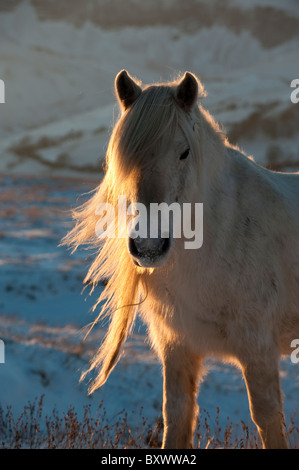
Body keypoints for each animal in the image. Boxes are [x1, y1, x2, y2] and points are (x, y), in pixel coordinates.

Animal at [64, 70, 299, 448]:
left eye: (184, 152)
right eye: (125, 157)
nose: (148, 246)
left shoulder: (258, 351)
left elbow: (268, 422)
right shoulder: (176, 347)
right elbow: (176, 419)